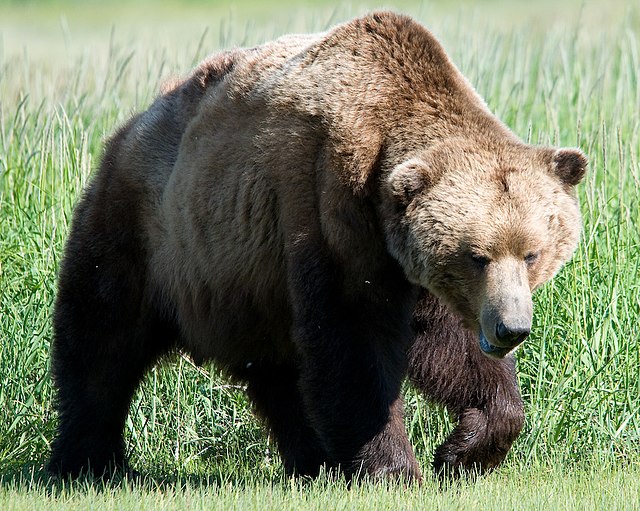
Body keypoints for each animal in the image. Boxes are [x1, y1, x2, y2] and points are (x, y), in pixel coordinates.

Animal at [47, 13, 588, 484]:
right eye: (476, 256)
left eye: (532, 253)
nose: (510, 328)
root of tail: (130, 125)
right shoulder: (330, 209)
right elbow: (353, 341)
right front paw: (395, 467)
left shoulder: (409, 266)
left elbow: (449, 347)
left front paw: (463, 449)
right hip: (149, 231)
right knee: (100, 340)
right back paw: (88, 461)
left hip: (248, 285)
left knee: (277, 373)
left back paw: (311, 459)